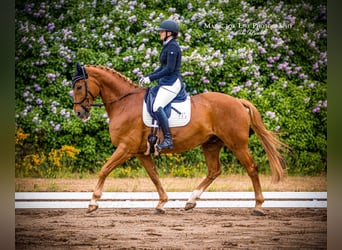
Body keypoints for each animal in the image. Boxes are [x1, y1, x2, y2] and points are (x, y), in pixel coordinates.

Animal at [72, 62, 288, 215]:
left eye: (80, 86)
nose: (79, 113)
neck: (124, 103)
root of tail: (237, 100)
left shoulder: (126, 148)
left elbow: (104, 169)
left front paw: (92, 202)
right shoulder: (141, 152)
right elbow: (154, 176)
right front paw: (161, 203)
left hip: (237, 144)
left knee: (251, 168)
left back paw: (258, 206)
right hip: (211, 144)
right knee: (214, 171)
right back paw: (191, 201)